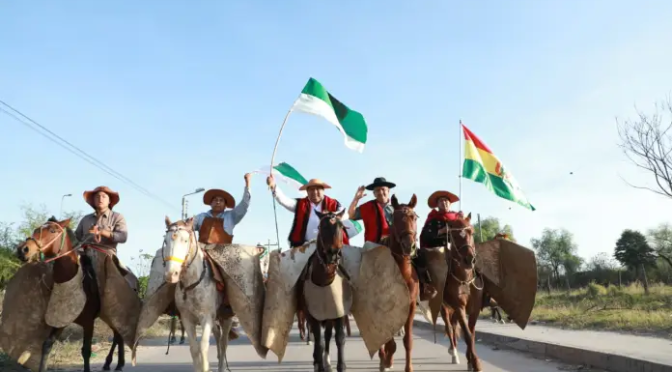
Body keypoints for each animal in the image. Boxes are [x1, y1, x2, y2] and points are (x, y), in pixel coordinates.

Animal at [15, 217, 129, 372]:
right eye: (36, 229)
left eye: (52, 230)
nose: (23, 249)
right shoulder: (61, 319)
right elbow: (47, 345)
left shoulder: (88, 322)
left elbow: (86, 351)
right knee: (118, 335)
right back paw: (114, 363)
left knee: (118, 335)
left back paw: (117, 364)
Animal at [162, 217, 234, 372]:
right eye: (165, 241)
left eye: (185, 240)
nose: (171, 274)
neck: (191, 284)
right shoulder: (187, 319)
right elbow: (194, 349)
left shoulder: (205, 317)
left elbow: (203, 347)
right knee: (218, 336)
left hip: (226, 317)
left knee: (223, 342)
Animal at [300, 209, 352, 372]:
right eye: (322, 226)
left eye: (341, 227)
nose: (333, 254)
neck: (324, 281)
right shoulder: (313, 314)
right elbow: (319, 342)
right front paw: (319, 365)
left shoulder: (338, 311)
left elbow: (339, 338)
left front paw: (340, 366)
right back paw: (318, 361)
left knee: (328, 335)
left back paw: (327, 362)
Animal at [438, 214, 486, 370]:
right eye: (453, 235)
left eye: (471, 232)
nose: (469, 259)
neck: (464, 280)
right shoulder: (459, 307)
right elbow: (467, 334)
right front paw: (475, 363)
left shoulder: (474, 308)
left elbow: (471, 333)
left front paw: (470, 360)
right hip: (444, 307)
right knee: (448, 326)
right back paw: (453, 352)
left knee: (453, 325)